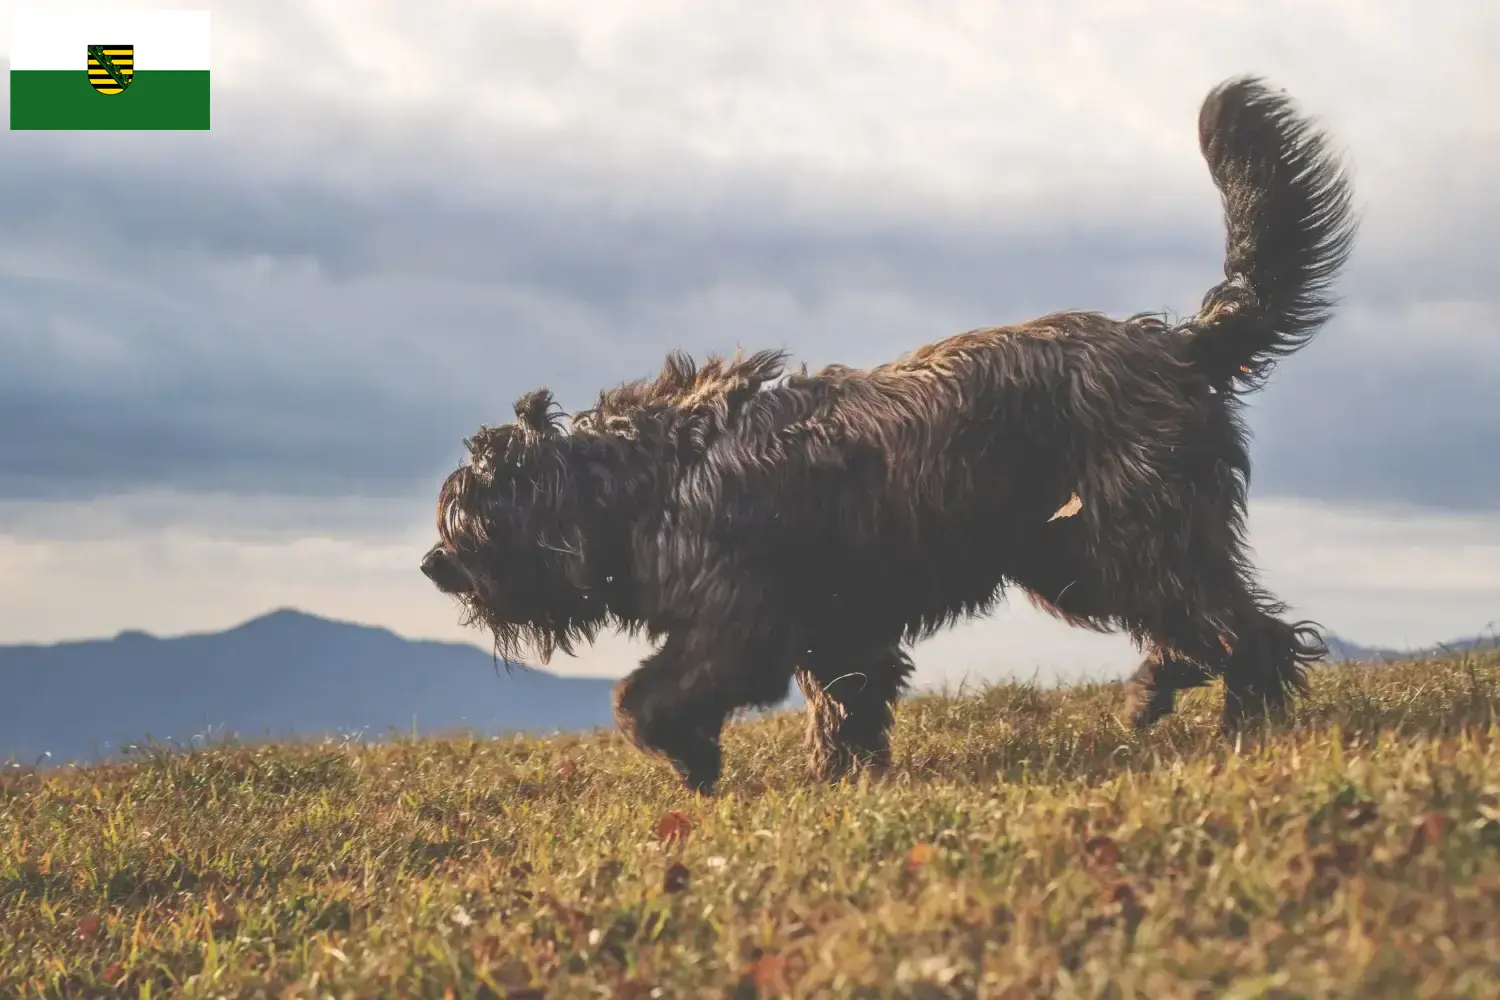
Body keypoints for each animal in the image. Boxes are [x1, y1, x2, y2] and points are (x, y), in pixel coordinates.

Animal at [423, 78, 1362, 791]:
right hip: (1077, 552)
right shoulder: (836, 627)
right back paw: (1164, 692)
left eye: (470, 518)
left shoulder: (737, 621)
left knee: (1245, 631)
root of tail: (1179, 343)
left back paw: (1244, 719)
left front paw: (694, 760)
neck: (645, 476)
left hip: (1125, 537)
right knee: (1209, 621)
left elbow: (645, 699)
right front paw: (843, 776)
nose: (433, 565)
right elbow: (848, 702)